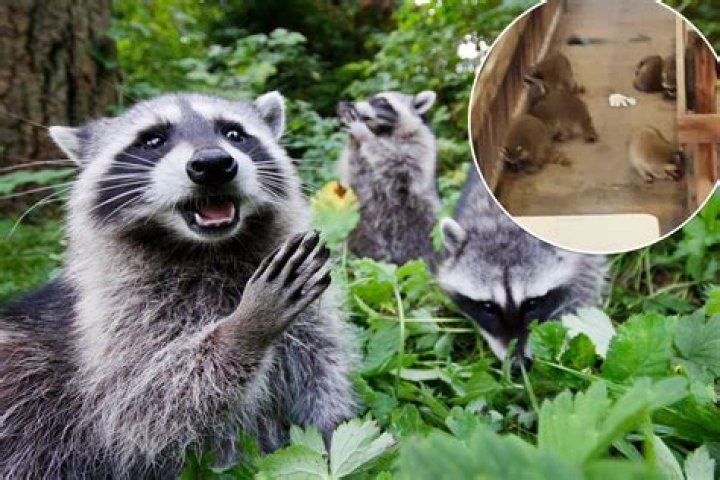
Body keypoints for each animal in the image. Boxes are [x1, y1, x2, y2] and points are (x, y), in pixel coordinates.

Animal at [0, 92, 353, 479]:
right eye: (153, 140)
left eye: (234, 133)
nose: (212, 163)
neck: (211, 250)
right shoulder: (116, 329)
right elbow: (149, 411)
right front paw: (244, 328)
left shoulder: (310, 321)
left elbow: (319, 381)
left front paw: (333, 440)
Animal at [336, 90, 440, 265]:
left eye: (382, 101)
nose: (351, 105)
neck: (382, 130)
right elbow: (355, 171)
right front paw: (353, 136)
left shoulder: (418, 148)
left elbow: (395, 160)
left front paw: (363, 134)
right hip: (358, 224)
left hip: (424, 222)